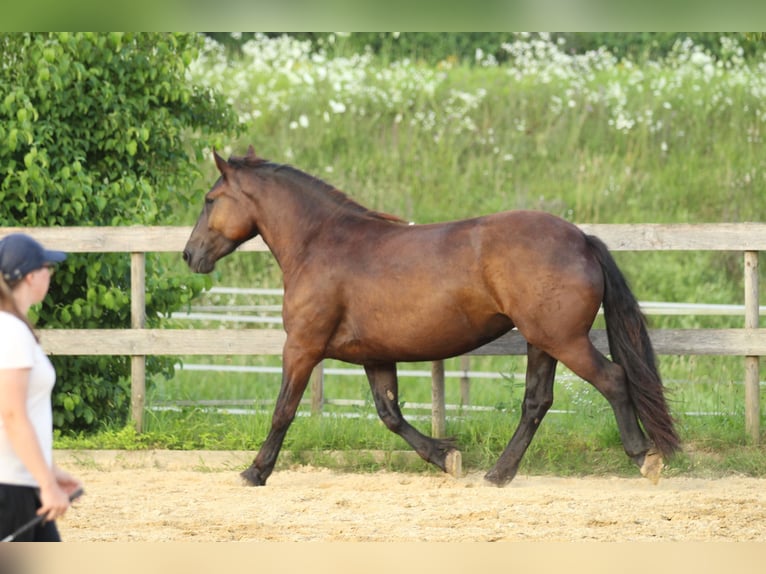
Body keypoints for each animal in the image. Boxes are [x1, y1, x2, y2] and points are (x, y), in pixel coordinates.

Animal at [183, 146, 680, 488]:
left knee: (613, 380)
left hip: (564, 339)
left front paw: (255, 472)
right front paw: (447, 457)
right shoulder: (375, 356)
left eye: (209, 199)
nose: (190, 255)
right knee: (536, 402)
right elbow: (390, 415)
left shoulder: (302, 347)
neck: (321, 243)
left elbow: (283, 410)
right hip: (542, 341)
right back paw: (498, 474)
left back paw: (644, 458)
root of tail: (582, 240)